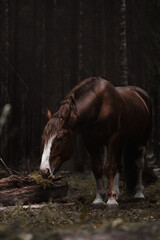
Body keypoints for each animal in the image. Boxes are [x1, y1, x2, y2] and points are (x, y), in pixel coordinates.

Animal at [39, 77, 152, 206]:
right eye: (43, 139)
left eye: (60, 138)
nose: (44, 171)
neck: (99, 107)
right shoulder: (91, 142)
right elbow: (97, 168)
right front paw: (99, 198)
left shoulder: (112, 138)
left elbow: (109, 167)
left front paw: (111, 200)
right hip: (120, 143)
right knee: (119, 165)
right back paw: (117, 193)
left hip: (142, 140)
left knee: (139, 164)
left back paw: (139, 193)